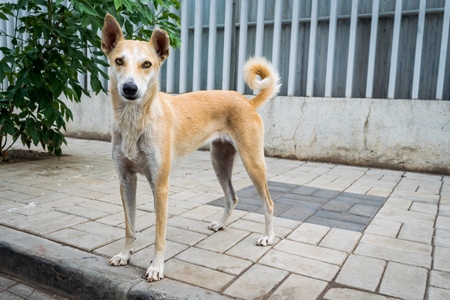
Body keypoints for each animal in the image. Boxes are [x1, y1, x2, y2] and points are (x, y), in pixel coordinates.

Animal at [101, 14, 282, 282]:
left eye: (147, 64)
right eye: (119, 61)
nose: (130, 89)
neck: (136, 122)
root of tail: (246, 101)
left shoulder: (160, 186)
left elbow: (159, 235)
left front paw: (156, 267)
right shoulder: (126, 181)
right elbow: (129, 227)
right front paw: (125, 255)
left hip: (253, 163)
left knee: (268, 203)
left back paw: (268, 236)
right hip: (220, 161)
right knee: (232, 197)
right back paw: (221, 224)